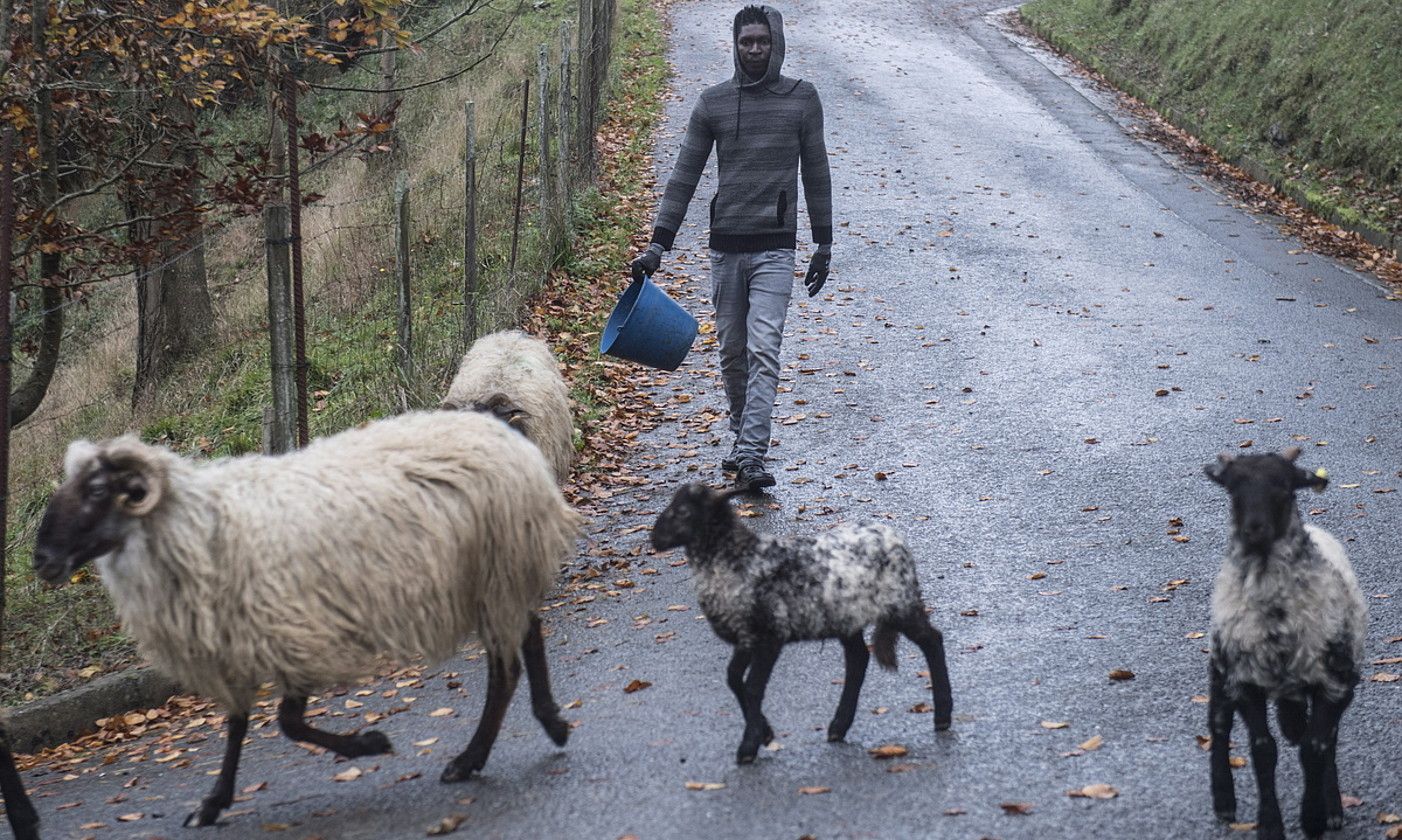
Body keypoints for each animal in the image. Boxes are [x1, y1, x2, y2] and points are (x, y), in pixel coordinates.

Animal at [32, 409, 580, 830]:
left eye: (97, 489)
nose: (41, 559)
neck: (197, 526)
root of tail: (506, 435)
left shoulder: (293, 629)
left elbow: (289, 723)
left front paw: (368, 743)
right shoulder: (239, 640)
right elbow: (238, 724)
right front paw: (213, 803)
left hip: (496, 568)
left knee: (505, 669)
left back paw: (470, 759)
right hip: (499, 574)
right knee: (529, 633)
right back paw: (550, 722)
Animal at [650, 482, 947, 768]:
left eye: (683, 512)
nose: (654, 538)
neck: (735, 558)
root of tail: (893, 536)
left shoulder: (769, 637)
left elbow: (752, 687)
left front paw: (749, 746)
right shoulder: (745, 638)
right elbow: (734, 679)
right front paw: (765, 733)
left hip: (900, 603)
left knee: (932, 640)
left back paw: (943, 716)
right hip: (846, 616)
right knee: (858, 659)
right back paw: (838, 727)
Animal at [1205, 445, 1368, 840]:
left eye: (1284, 488)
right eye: (1233, 489)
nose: (1253, 530)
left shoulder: (1335, 683)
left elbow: (1315, 747)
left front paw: (1314, 817)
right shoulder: (1245, 680)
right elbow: (1263, 750)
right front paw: (1270, 825)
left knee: (1327, 740)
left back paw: (1333, 806)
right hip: (1221, 663)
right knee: (1218, 725)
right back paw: (1224, 802)